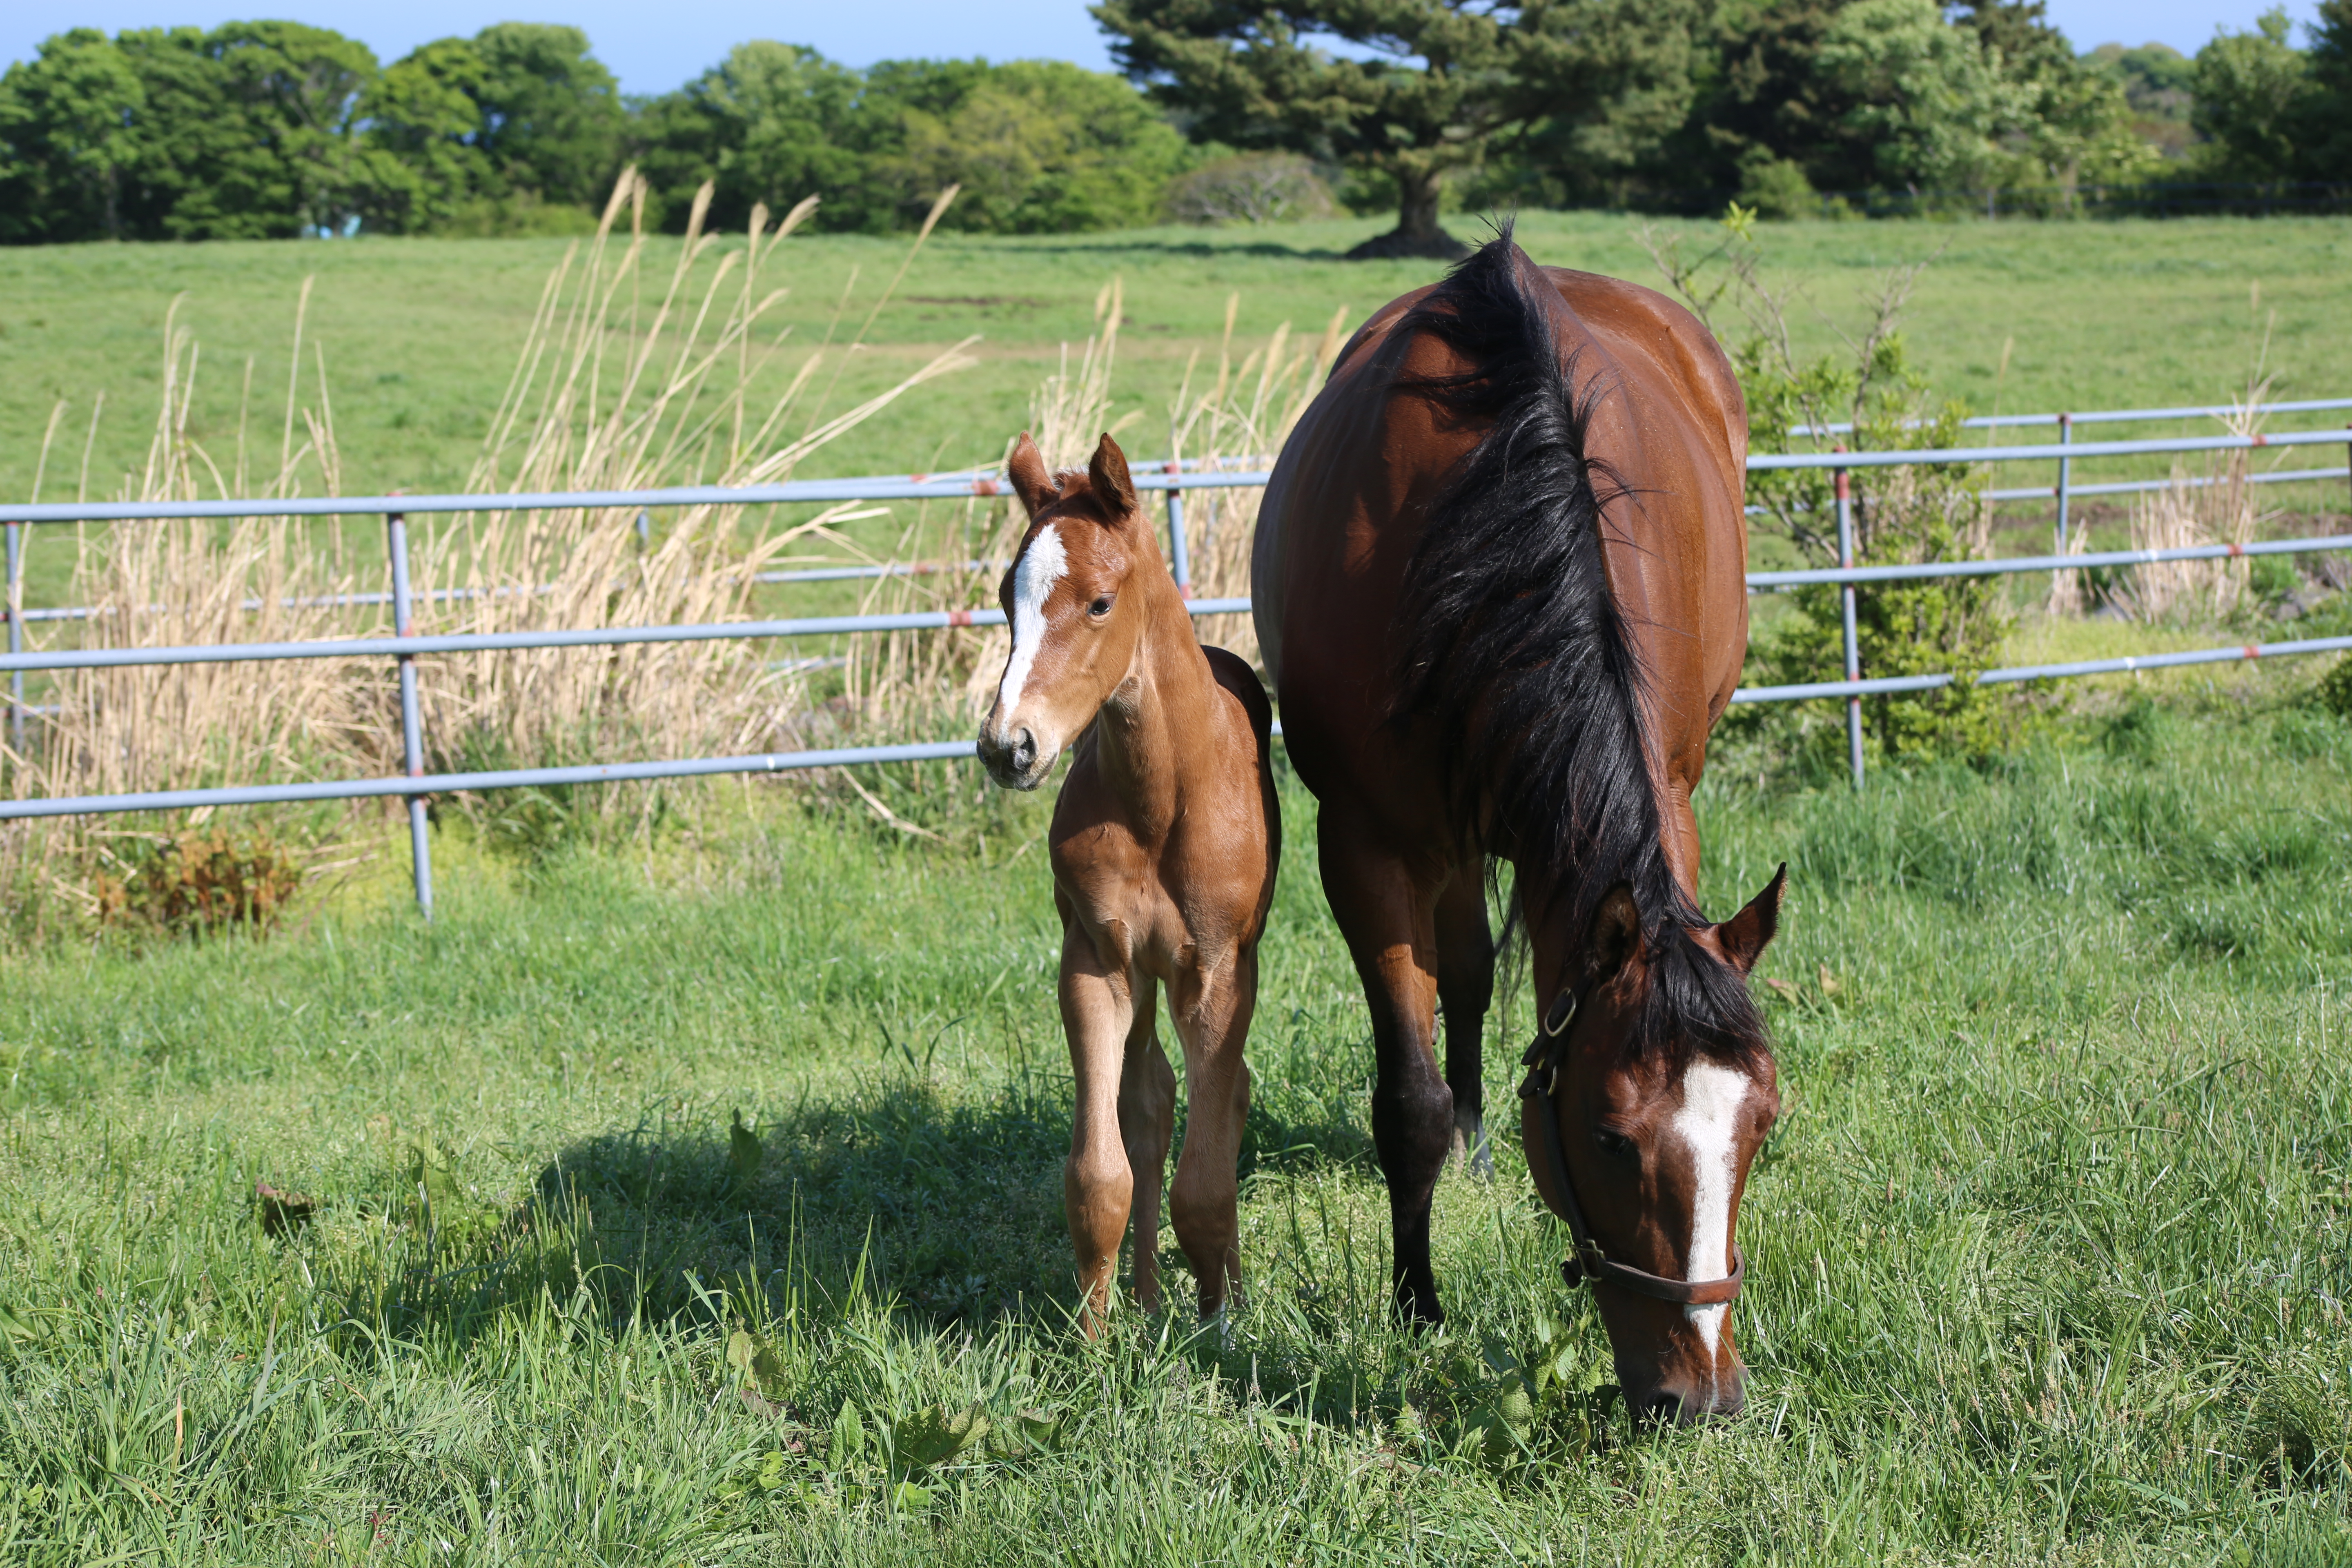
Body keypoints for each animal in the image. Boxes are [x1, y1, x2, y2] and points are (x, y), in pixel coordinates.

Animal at [973, 432, 1279, 1335]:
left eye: (1100, 604)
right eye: (1006, 599)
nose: (1008, 746)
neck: (1160, 796)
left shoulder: (1216, 972)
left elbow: (1206, 1179)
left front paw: (1219, 1326)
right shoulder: (1097, 961)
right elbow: (1100, 1174)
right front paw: (1095, 1338)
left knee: (1222, 1098)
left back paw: (1223, 1292)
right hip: (1143, 977)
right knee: (1149, 1106)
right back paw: (1144, 1298)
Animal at [1261, 232, 1787, 1420]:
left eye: (1761, 1128)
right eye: (1606, 1136)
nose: (1700, 1397)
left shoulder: (1670, 794)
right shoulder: (1365, 845)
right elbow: (1406, 1100)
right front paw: (1417, 1306)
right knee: (1461, 979)